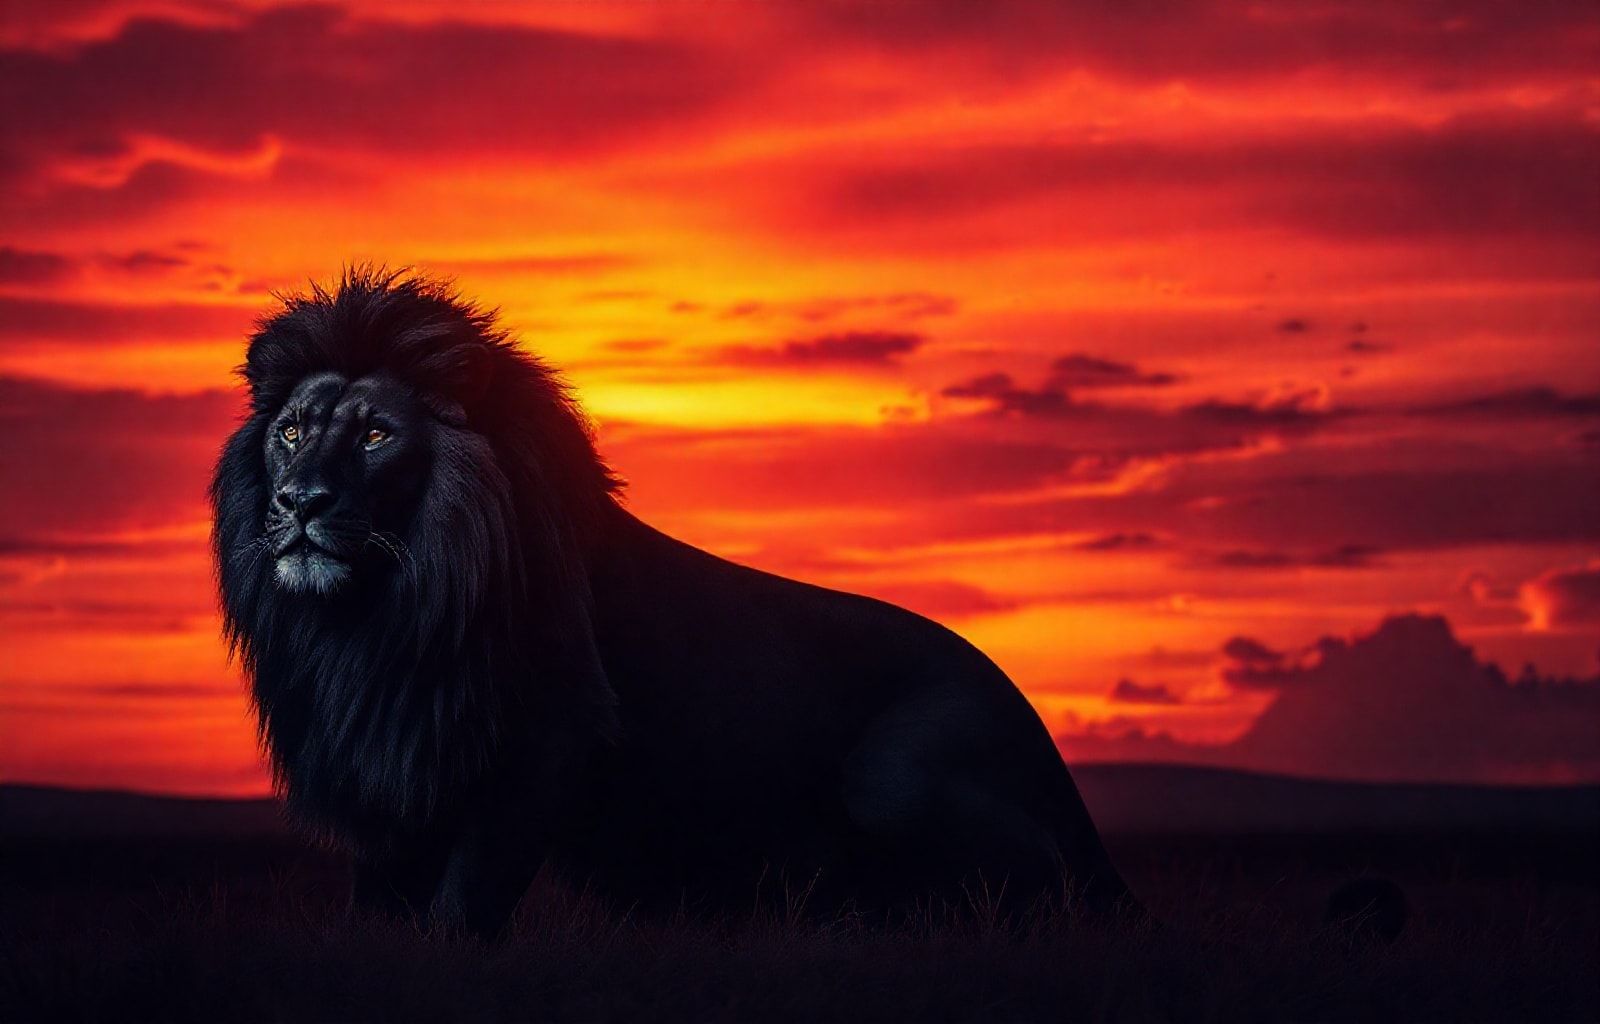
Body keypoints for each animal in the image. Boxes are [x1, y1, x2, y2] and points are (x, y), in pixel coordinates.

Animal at [211, 268, 1140, 937]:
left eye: (376, 434)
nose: (298, 502)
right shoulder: (384, 744)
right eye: (291, 430)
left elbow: (468, 890)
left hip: (899, 780)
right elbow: (380, 886)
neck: (378, 618)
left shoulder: (551, 736)